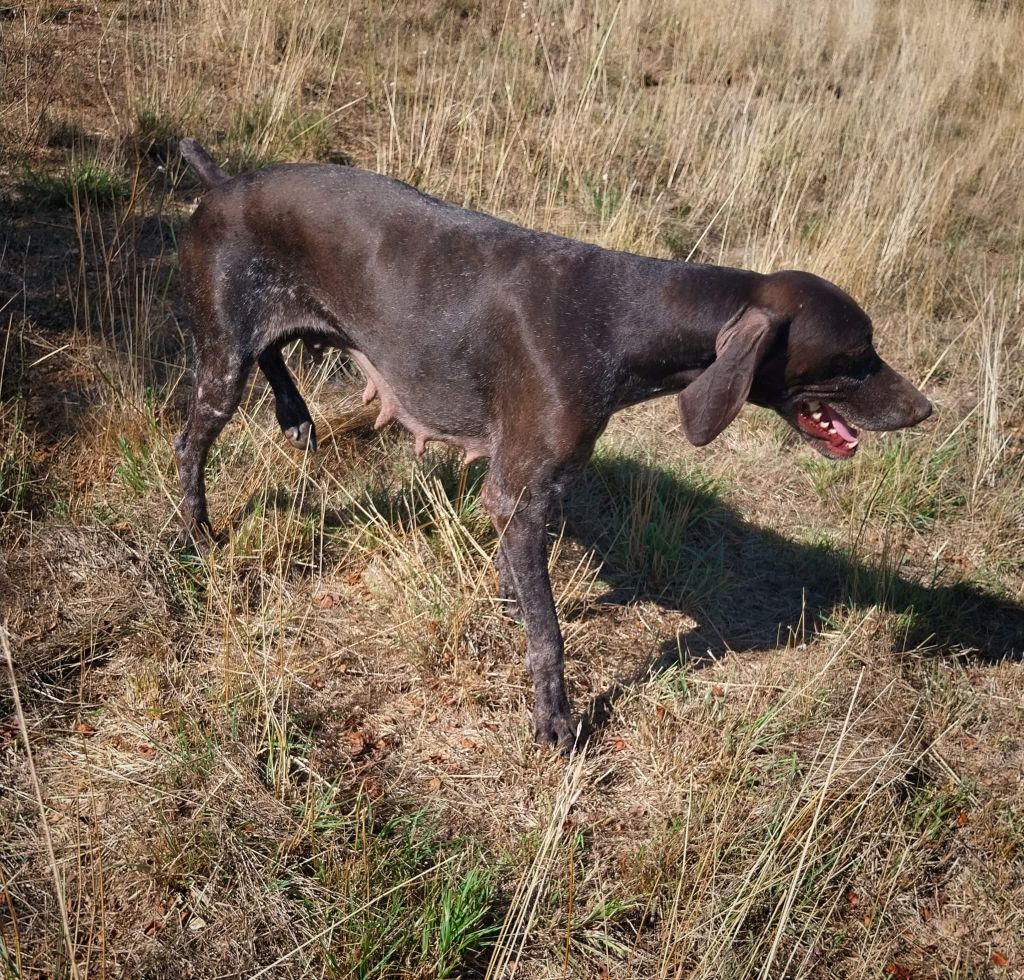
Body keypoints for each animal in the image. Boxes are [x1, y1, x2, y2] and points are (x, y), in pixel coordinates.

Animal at [178, 137, 937, 749]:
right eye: (857, 357)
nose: (925, 409)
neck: (624, 318)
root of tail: (222, 182)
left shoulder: (537, 492)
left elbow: (522, 583)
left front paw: (512, 600)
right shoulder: (519, 495)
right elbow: (549, 636)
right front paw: (556, 721)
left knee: (271, 359)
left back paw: (293, 414)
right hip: (221, 367)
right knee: (190, 446)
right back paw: (199, 533)